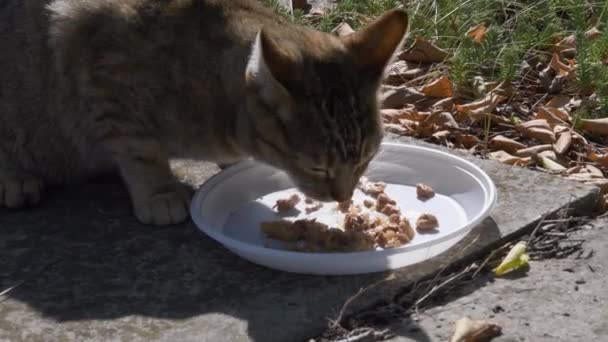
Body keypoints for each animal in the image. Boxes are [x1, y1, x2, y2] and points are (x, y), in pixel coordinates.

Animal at [1, 0, 408, 226]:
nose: (343, 197)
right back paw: (15, 178)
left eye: (365, 160)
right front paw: (159, 193)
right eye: (318, 168)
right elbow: (139, 151)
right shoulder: (102, 79)